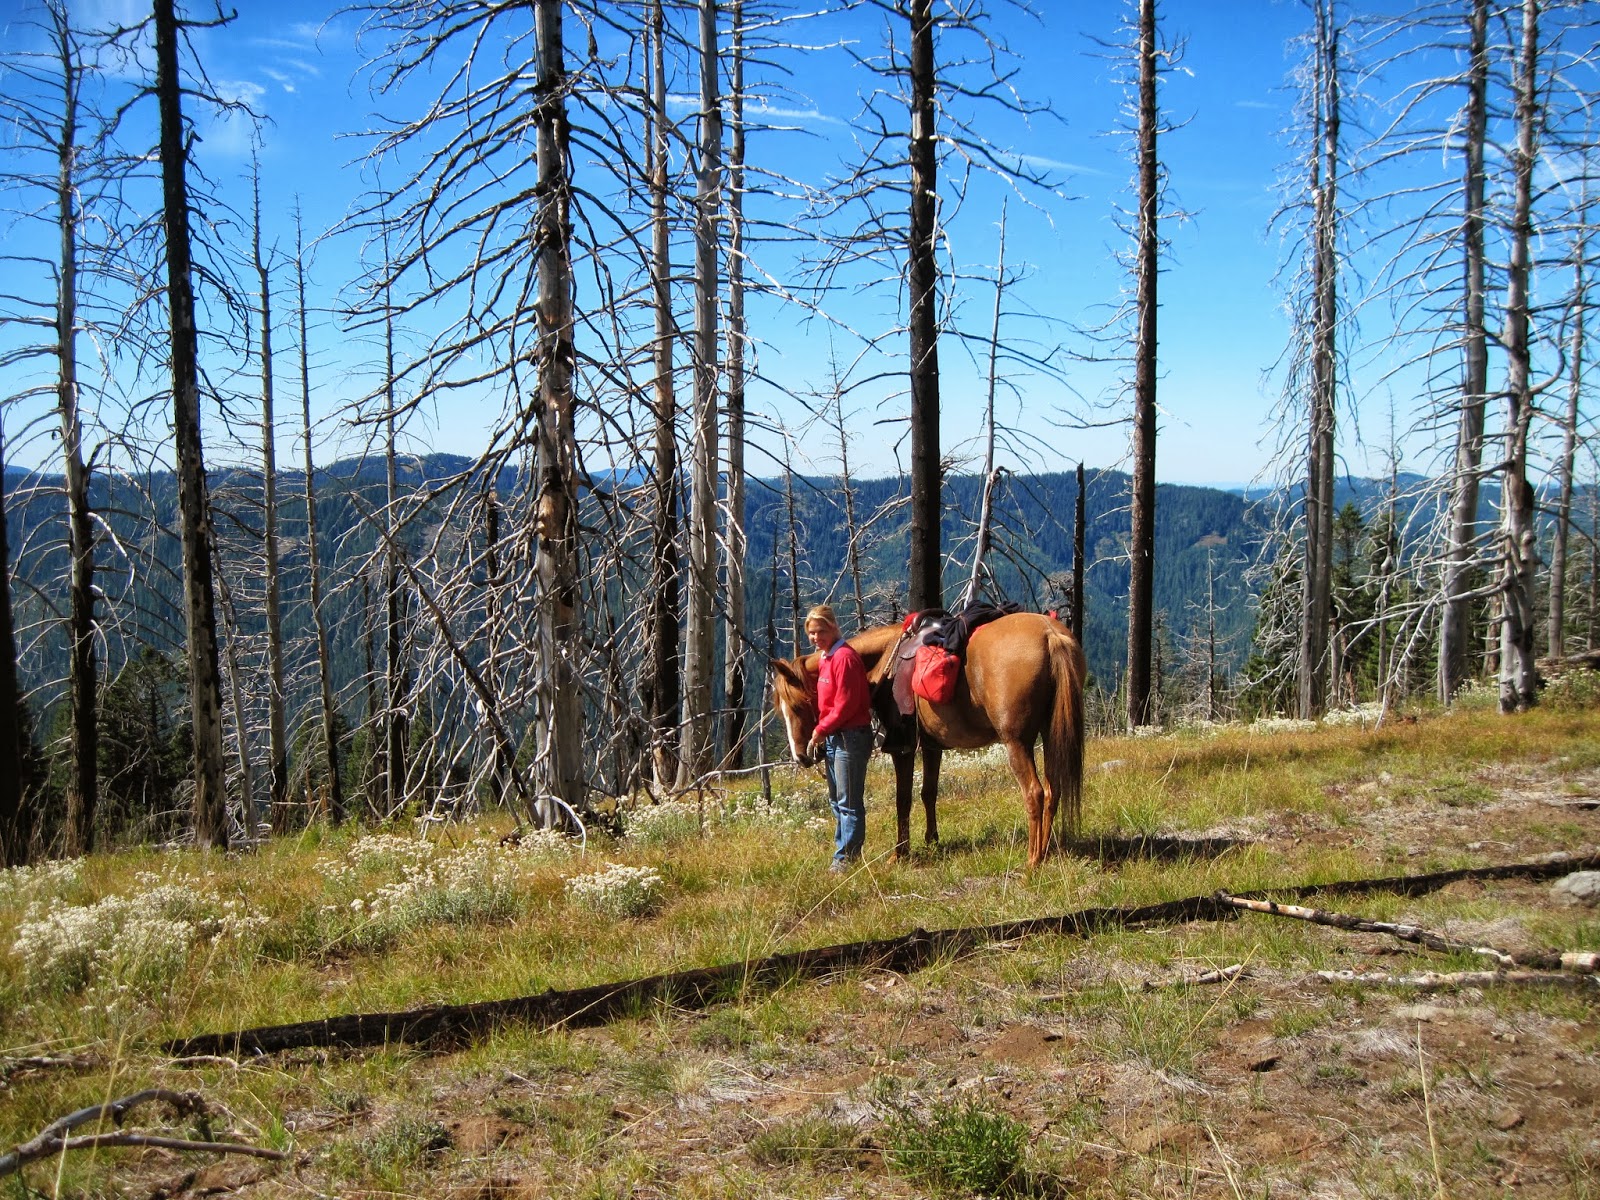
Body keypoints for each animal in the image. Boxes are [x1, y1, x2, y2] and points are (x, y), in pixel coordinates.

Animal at [770, 611, 1086, 868]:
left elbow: (904, 799)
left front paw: (900, 853)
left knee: (1034, 792)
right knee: (1053, 789)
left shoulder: (902, 748)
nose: (802, 756)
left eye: (796, 706)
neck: (885, 659)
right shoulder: (933, 745)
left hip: (1017, 742)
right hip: (1050, 733)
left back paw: (1033, 859)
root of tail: (1050, 633)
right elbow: (929, 793)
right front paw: (932, 840)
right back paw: (1046, 849)